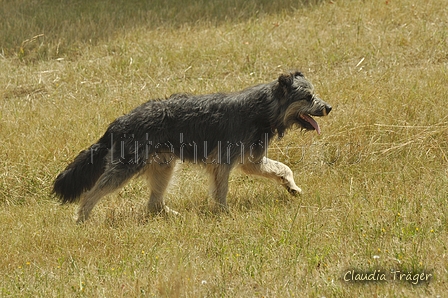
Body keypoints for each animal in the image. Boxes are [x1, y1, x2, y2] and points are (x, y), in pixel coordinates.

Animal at [53, 71, 332, 222]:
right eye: (308, 97)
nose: (329, 107)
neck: (264, 108)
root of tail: (119, 122)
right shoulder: (223, 162)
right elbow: (221, 192)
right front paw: (224, 214)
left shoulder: (251, 162)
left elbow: (283, 168)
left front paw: (292, 187)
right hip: (126, 168)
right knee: (91, 194)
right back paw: (82, 219)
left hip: (164, 167)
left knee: (154, 204)